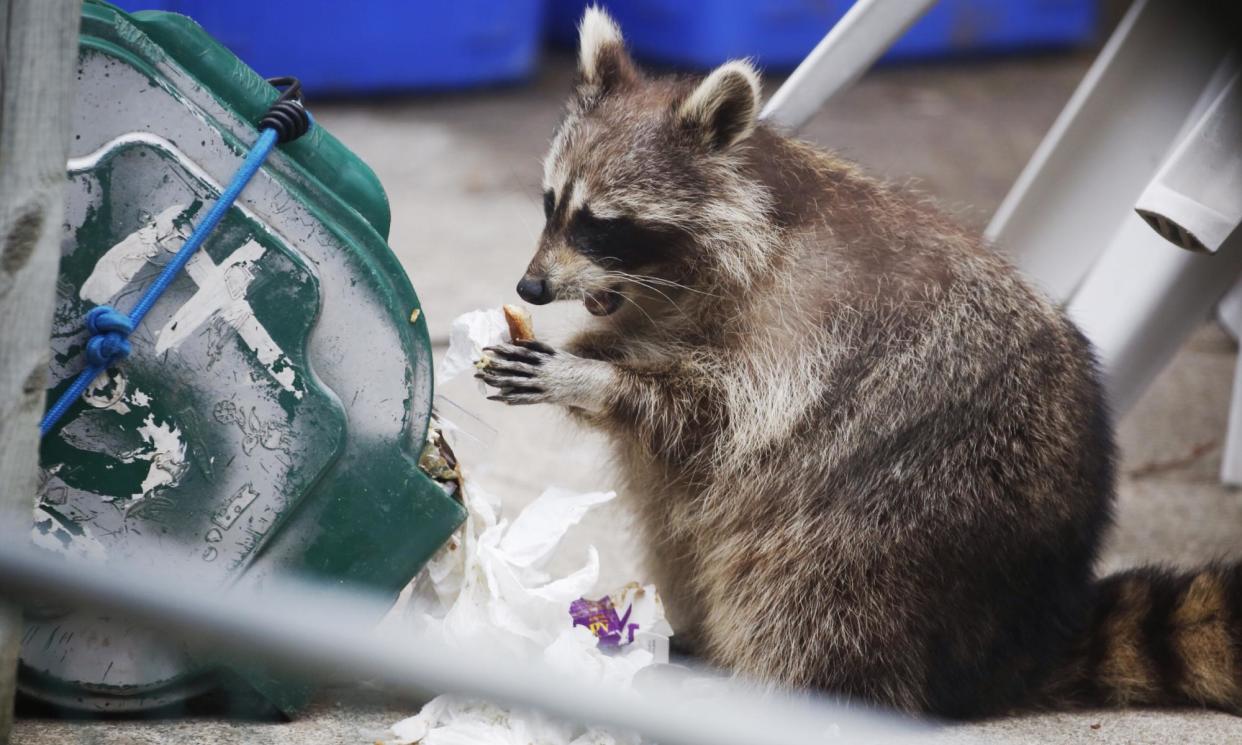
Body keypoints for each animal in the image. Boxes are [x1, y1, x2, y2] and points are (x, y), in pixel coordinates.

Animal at [476, 5, 1242, 715]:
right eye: (550, 203)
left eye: (602, 224)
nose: (530, 288)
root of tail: (1022, 641)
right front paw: (579, 352)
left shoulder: (807, 330)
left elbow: (716, 419)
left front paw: (595, 379)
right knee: (680, 522)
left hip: (921, 515)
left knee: (814, 584)